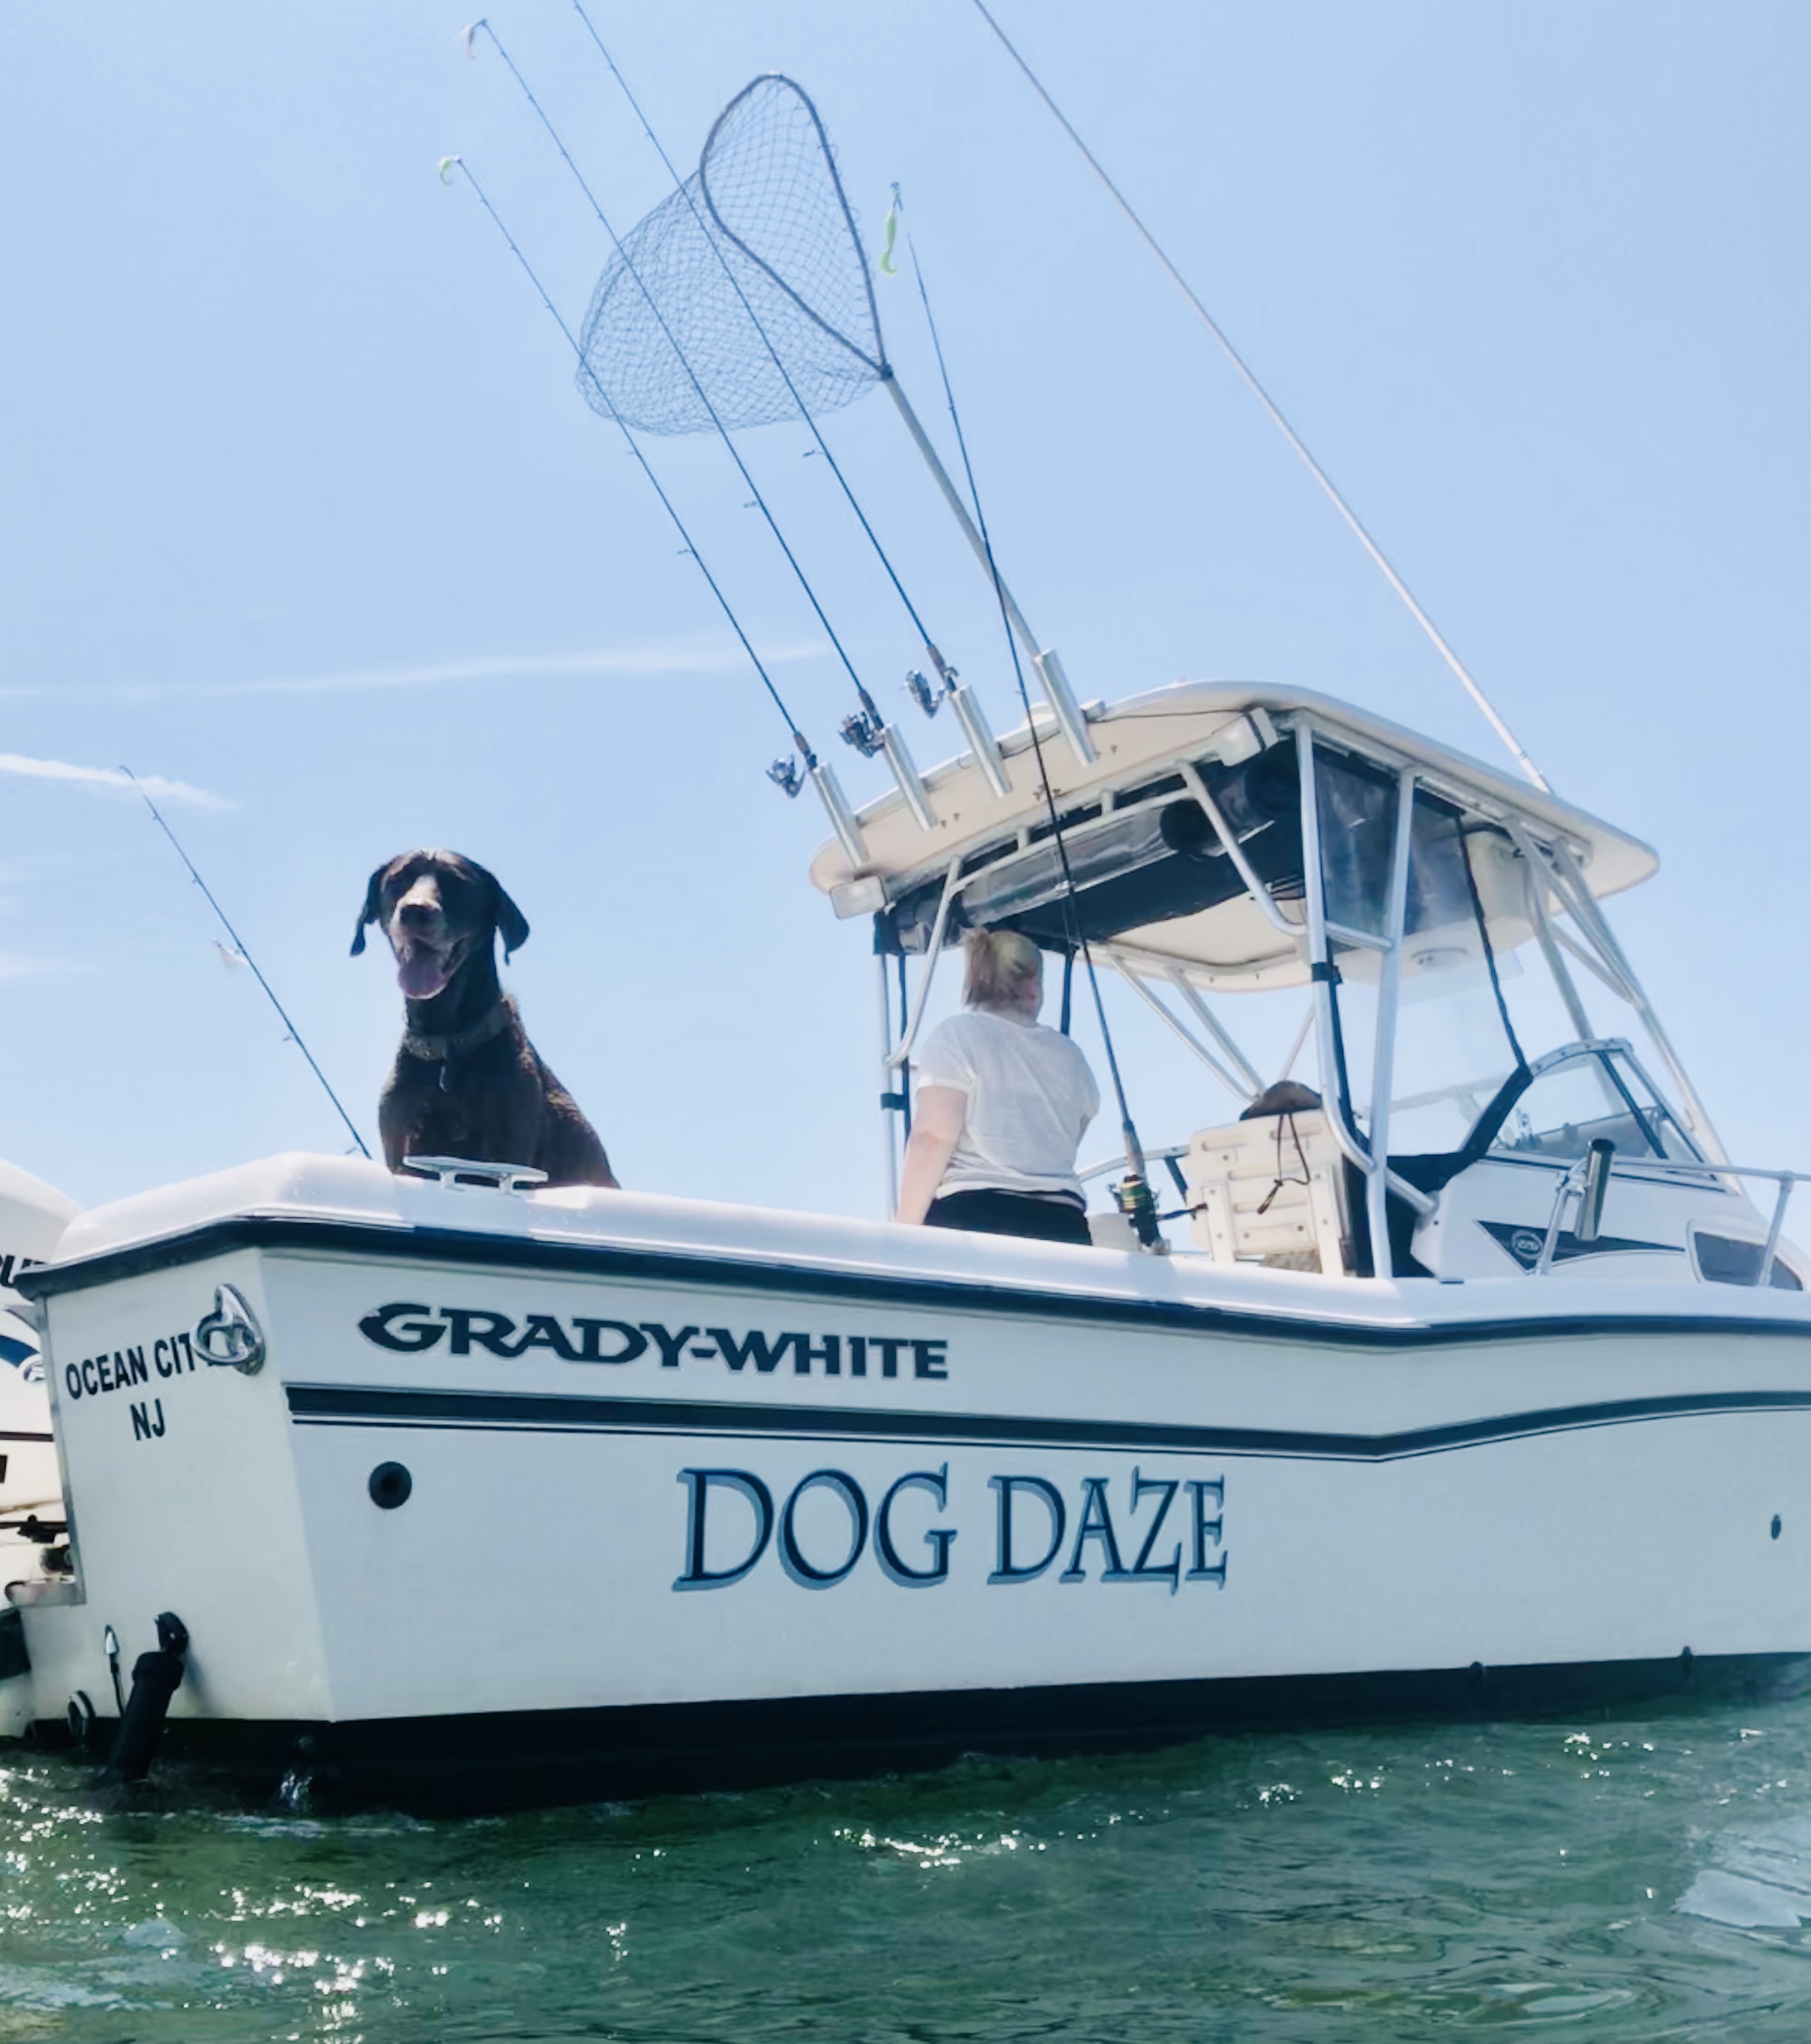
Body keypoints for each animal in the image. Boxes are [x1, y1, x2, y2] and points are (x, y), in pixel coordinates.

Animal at [351, 850, 621, 1185]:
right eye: (398, 880)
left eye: (456, 882)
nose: (415, 910)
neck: (449, 1045)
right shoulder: (401, 1142)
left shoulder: (507, 1151)